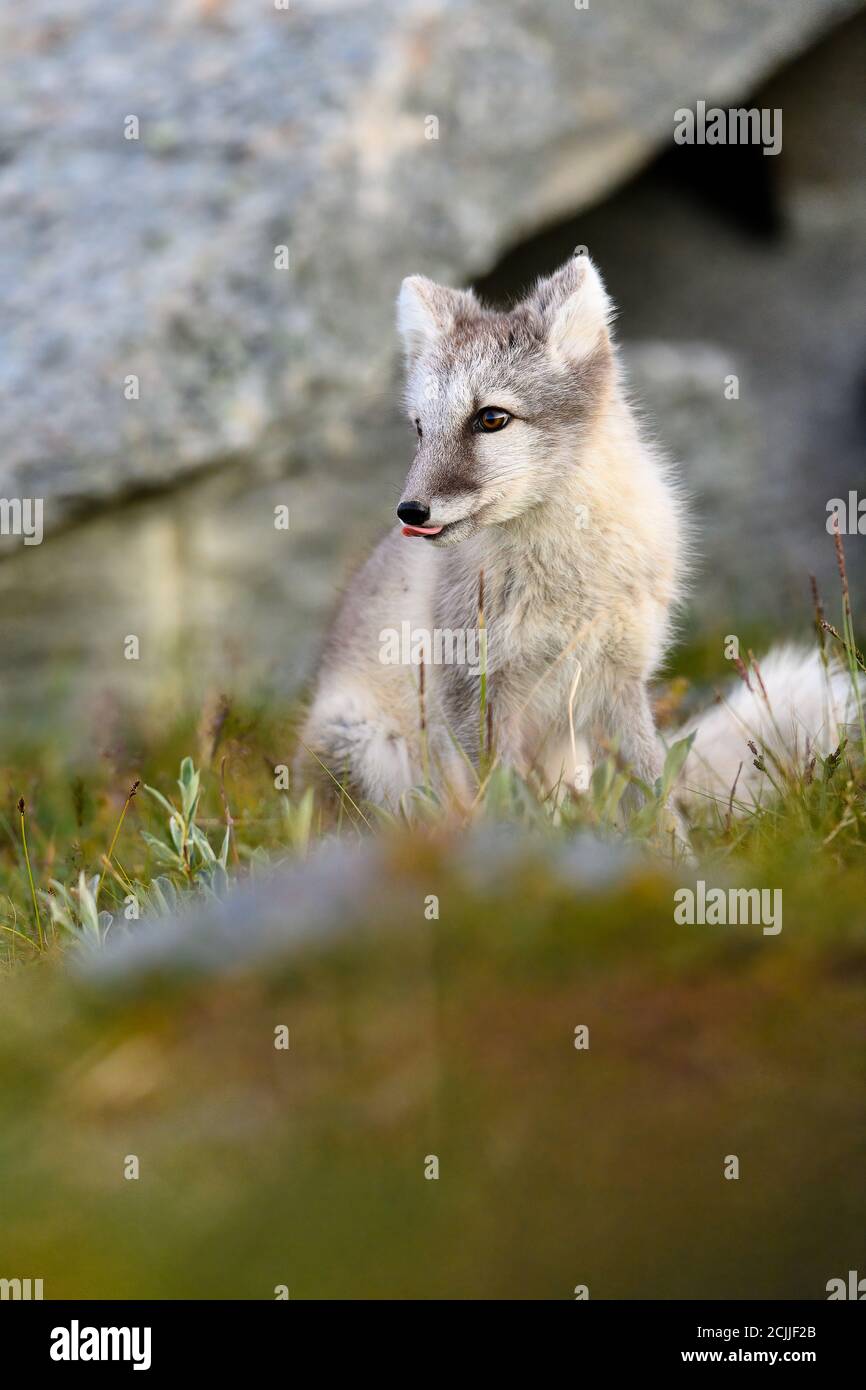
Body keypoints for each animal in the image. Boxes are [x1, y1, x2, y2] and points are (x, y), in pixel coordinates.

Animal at [301, 252, 856, 811]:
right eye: (420, 428)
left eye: (491, 418)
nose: (410, 512)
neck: (568, 574)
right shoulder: (469, 690)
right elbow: (503, 800)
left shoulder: (622, 678)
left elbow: (654, 794)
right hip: (367, 746)